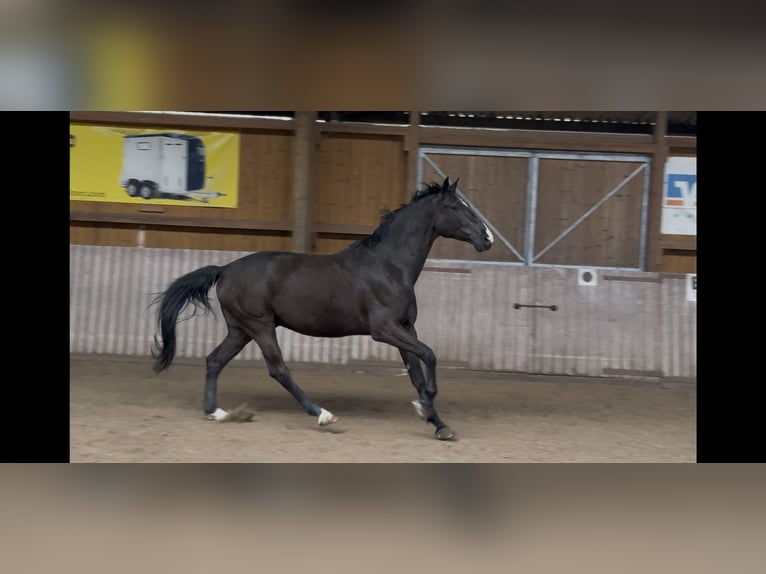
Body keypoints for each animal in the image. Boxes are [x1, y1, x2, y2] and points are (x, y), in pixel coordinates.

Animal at [151, 177, 494, 440]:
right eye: (454, 207)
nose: (487, 237)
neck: (389, 266)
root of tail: (225, 270)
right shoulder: (384, 330)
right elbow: (430, 356)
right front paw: (426, 404)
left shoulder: (406, 328)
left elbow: (417, 372)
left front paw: (438, 423)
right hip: (260, 326)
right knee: (278, 370)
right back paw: (322, 414)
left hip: (240, 329)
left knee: (215, 360)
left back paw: (216, 413)